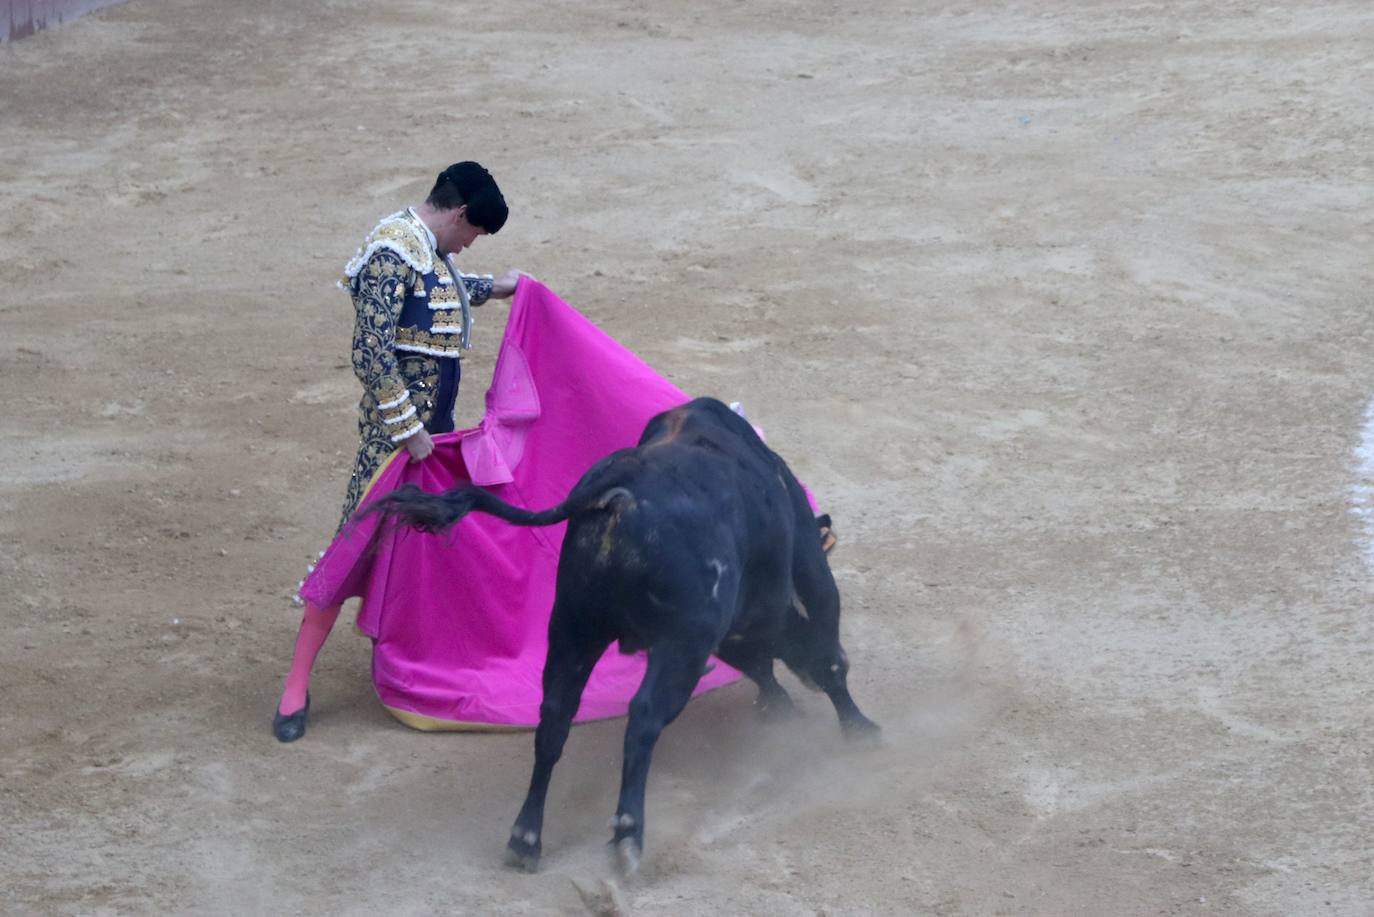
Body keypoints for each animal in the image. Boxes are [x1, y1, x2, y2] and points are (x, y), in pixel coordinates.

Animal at [365, 398, 879, 879]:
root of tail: (618, 491)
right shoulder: (790, 585)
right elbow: (826, 655)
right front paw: (859, 727)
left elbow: (760, 662)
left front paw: (782, 706)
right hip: (677, 644)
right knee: (643, 718)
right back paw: (628, 837)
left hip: (573, 629)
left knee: (554, 719)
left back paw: (526, 838)